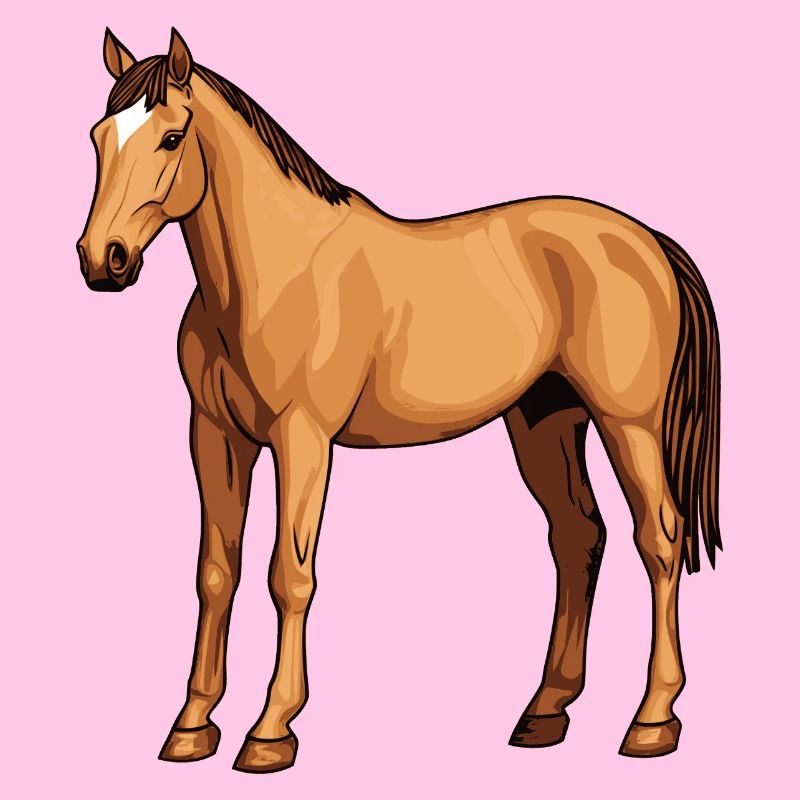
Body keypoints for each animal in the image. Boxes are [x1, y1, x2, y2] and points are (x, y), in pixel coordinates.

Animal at [77, 28, 721, 772]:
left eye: (172, 137)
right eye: (98, 138)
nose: (102, 259)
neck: (271, 273)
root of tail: (647, 241)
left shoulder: (303, 439)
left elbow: (288, 574)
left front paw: (271, 730)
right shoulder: (215, 435)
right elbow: (216, 572)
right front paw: (190, 726)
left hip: (629, 427)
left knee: (660, 540)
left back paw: (652, 720)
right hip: (545, 423)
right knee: (578, 537)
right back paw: (545, 712)